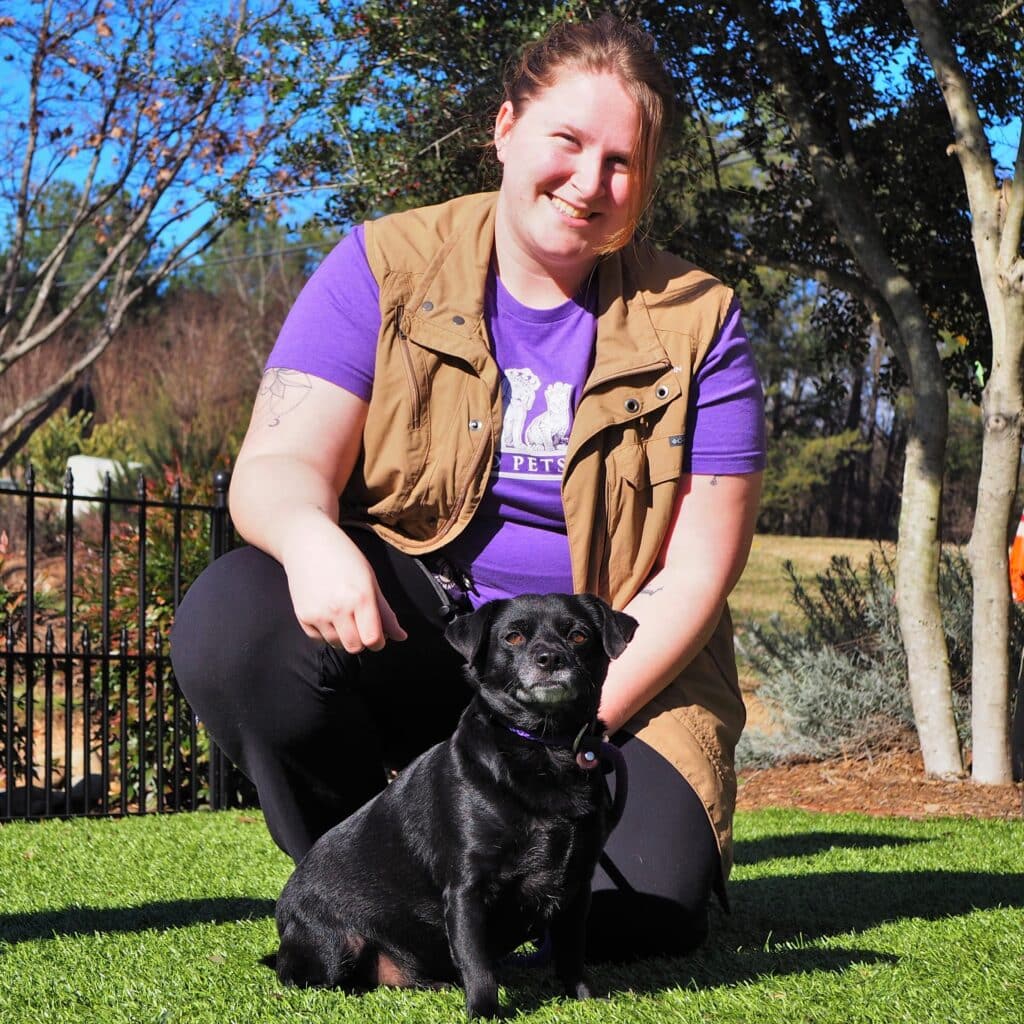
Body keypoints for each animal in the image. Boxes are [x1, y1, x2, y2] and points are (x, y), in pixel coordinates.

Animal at [276, 593, 634, 1015]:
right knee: (300, 977)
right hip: (334, 947)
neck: (545, 747)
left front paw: (583, 999)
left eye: (578, 635)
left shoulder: (577, 887)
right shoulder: (467, 891)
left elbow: (572, 952)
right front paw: (484, 1013)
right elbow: (477, 964)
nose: (550, 657)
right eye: (513, 637)